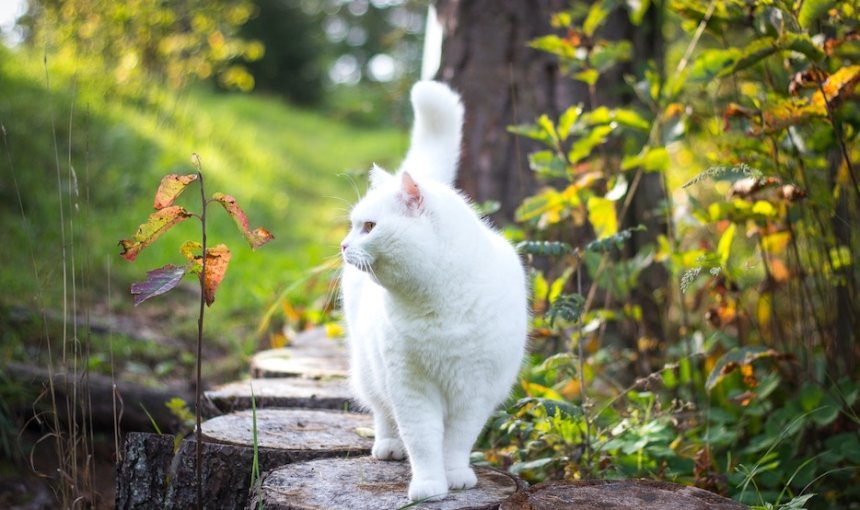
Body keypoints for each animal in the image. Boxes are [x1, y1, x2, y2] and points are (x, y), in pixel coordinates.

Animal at [340, 81, 528, 500]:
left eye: (369, 227)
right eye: (353, 225)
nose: (343, 245)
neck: (437, 305)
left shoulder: (475, 391)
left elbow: (456, 442)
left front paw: (455, 475)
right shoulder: (411, 387)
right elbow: (423, 440)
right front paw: (429, 486)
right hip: (369, 369)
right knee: (382, 412)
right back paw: (388, 446)